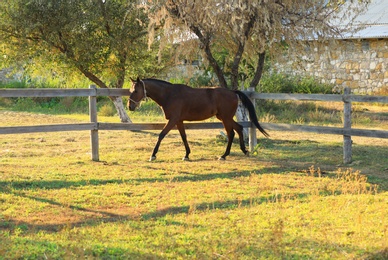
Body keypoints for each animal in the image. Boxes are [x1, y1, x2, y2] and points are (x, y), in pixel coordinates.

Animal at [128, 77, 270, 160]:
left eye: (135, 91)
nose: (130, 106)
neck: (169, 94)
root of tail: (232, 92)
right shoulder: (179, 121)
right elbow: (183, 137)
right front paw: (186, 155)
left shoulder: (173, 120)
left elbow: (161, 135)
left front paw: (153, 155)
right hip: (225, 117)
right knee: (239, 129)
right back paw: (244, 151)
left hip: (226, 118)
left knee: (231, 133)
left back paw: (224, 155)